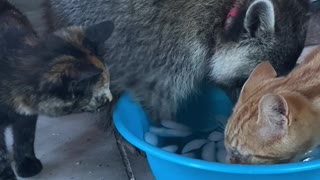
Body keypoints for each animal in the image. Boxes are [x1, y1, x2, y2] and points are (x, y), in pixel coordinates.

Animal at [0, 1, 114, 179]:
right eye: (100, 95)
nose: (111, 100)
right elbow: (0, 153)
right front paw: (5, 173)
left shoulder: (27, 116)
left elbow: (25, 137)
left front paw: (27, 164)